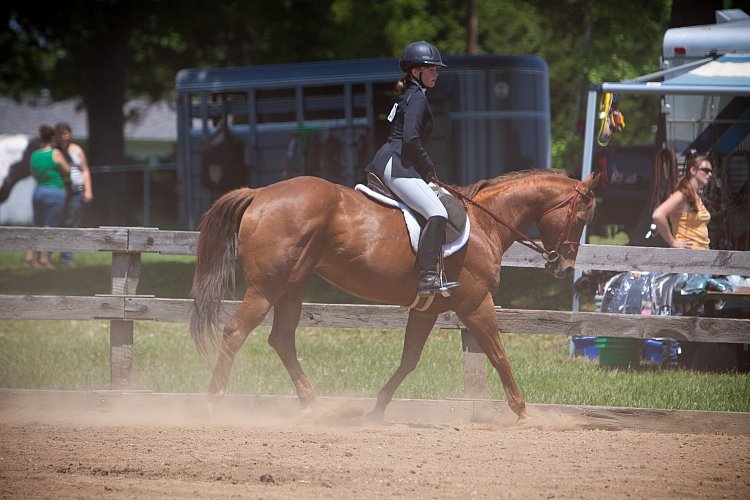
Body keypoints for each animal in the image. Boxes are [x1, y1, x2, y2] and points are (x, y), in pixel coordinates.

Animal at [192, 170, 600, 420]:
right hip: (267, 287)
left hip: (292, 286)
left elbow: (409, 360)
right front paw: (523, 411)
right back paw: (212, 405)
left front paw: (376, 409)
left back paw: (313, 405)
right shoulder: (475, 303)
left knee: (282, 339)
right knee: (236, 332)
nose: (563, 266)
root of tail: (259, 193)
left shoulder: (428, 309)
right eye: (581, 218)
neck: (486, 223)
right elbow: (499, 356)